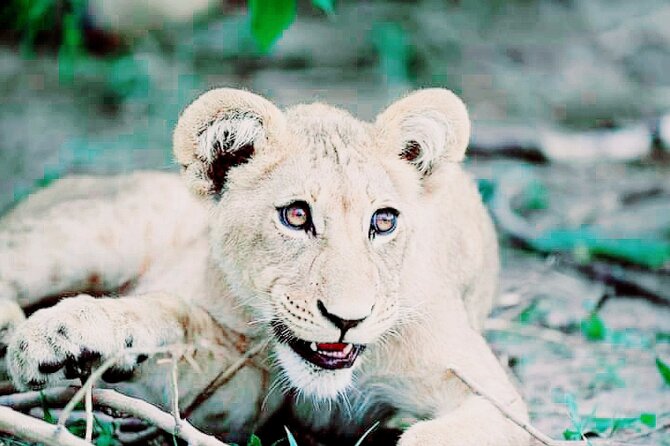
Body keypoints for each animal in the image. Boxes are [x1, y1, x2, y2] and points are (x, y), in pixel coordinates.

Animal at [0, 88, 529, 445]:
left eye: (384, 221)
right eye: (295, 216)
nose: (348, 320)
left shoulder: (497, 400)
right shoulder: (249, 387)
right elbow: (174, 316)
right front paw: (65, 336)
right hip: (106, 228)